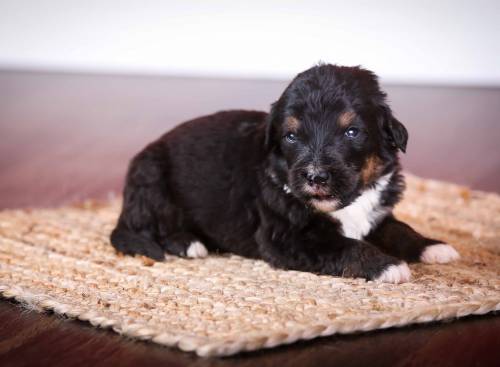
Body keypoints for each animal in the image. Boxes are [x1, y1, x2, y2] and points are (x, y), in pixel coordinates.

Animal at [111, 64, 458, 284]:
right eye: (291, 136)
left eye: (352, 132)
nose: (315, 177)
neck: (345, 204)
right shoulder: (286, 237)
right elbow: (345, 245)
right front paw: (388, 265)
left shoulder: (376, 214)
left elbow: (400, 229)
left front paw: (434, 247)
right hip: (152, 180)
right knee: (147, 229)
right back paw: (188, 243)